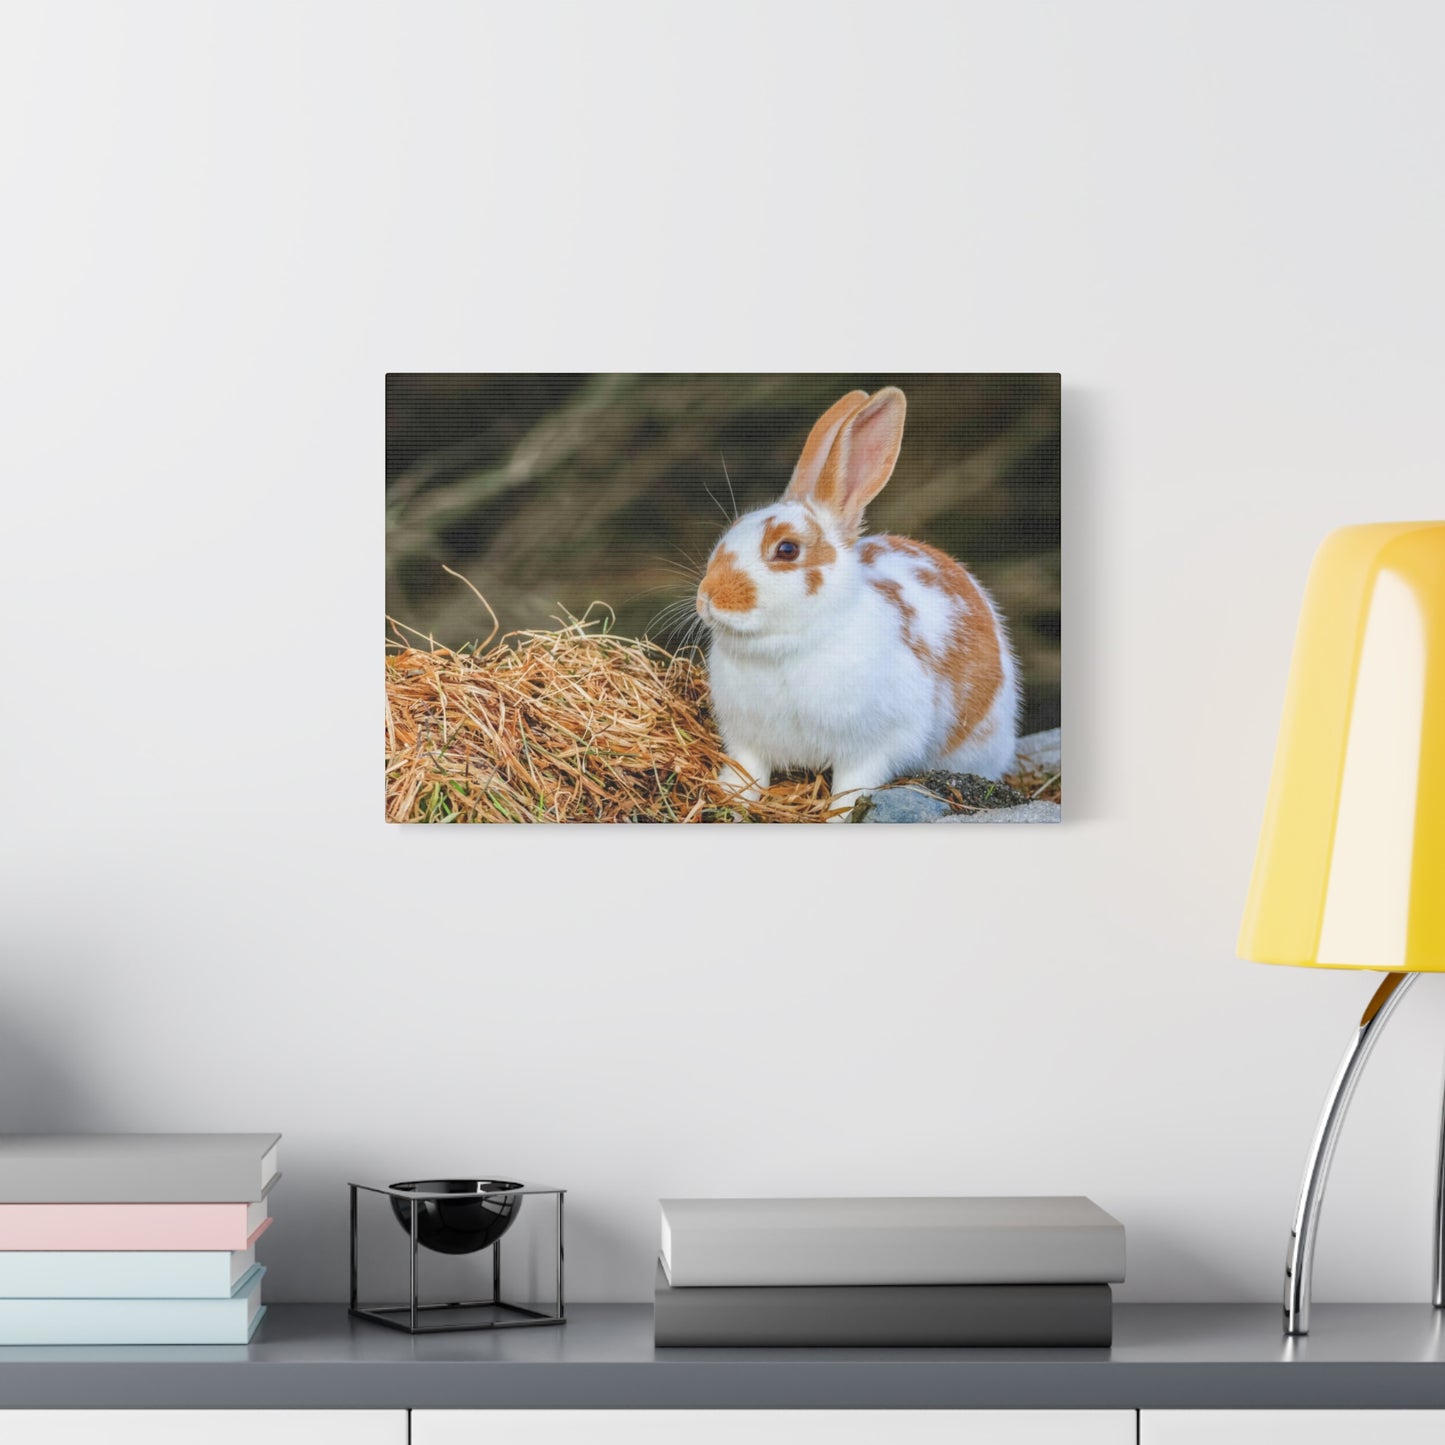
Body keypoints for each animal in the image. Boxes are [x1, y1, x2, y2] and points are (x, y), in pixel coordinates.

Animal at [696, 386, 1020, 813]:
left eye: (787, 549)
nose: (707, 596)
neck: (782, 650)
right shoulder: (747, 741)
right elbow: (746, 773)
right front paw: (733, 801)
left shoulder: (873, 748)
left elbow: (852, 786)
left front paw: (838, 816)